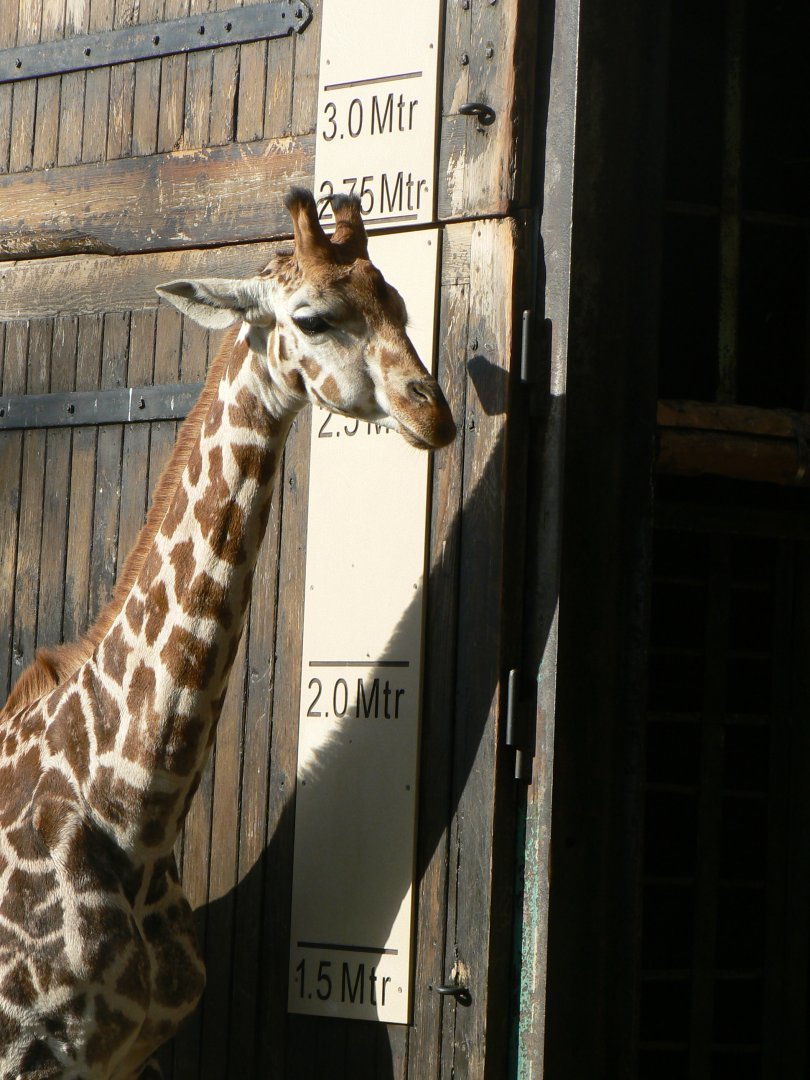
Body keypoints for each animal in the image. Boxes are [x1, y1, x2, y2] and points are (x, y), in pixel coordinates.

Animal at [0, 188, 455, 1078]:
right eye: (313, 317)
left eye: (399, 305)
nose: (434, 412)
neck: (133, 815)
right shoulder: (26, 1051)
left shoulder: (131, 1054)